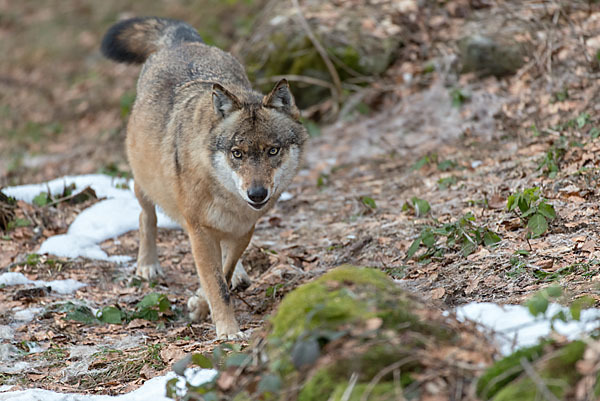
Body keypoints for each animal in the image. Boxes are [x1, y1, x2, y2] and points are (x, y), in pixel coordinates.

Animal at [101, 16, 308, 338]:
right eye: (237, 153)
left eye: (273, 150)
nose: (257, 194)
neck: (226, 196)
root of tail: (183, 41)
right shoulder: (199, 231)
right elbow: (217, 285)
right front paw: (228, 331)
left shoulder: (244, 228)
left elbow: (223, 272)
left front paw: (201, 304)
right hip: (144, 182)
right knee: (146, 217)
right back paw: (147, 265)